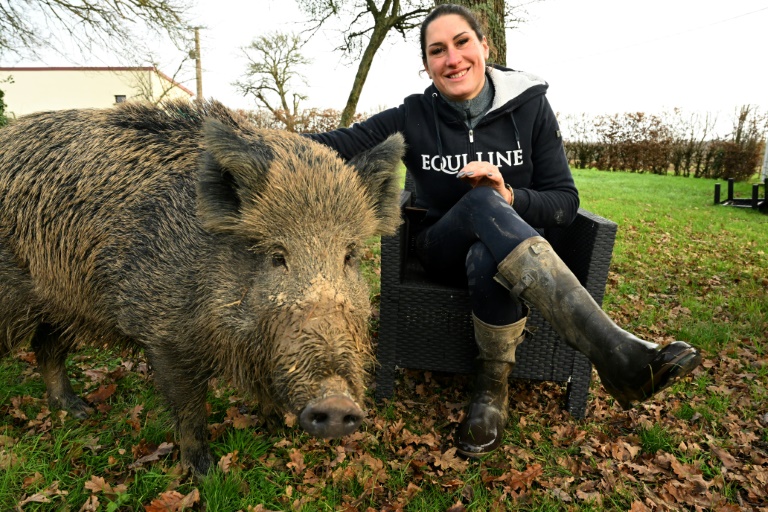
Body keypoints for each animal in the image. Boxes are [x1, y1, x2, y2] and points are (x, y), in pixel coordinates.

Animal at [0, 100, 404, 474]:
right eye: (276, 256)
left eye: (349, 255)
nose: (336, 405)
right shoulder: (165, 335)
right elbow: (190, 408)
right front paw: (204, 474)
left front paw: (277, 430)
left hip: (61, 303)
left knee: (46, 347)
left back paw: (78, 410)